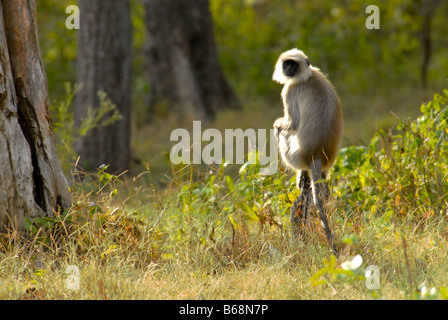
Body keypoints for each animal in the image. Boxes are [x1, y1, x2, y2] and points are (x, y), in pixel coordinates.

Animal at [270, 48, 344, 252]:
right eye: (287, 63)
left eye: (293, 64)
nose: (288, 69)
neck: (306, 77)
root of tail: (316, 156)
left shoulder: (289, 90)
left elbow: (291, 124)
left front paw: (277, 123)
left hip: (292, 154)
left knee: (282, 134)